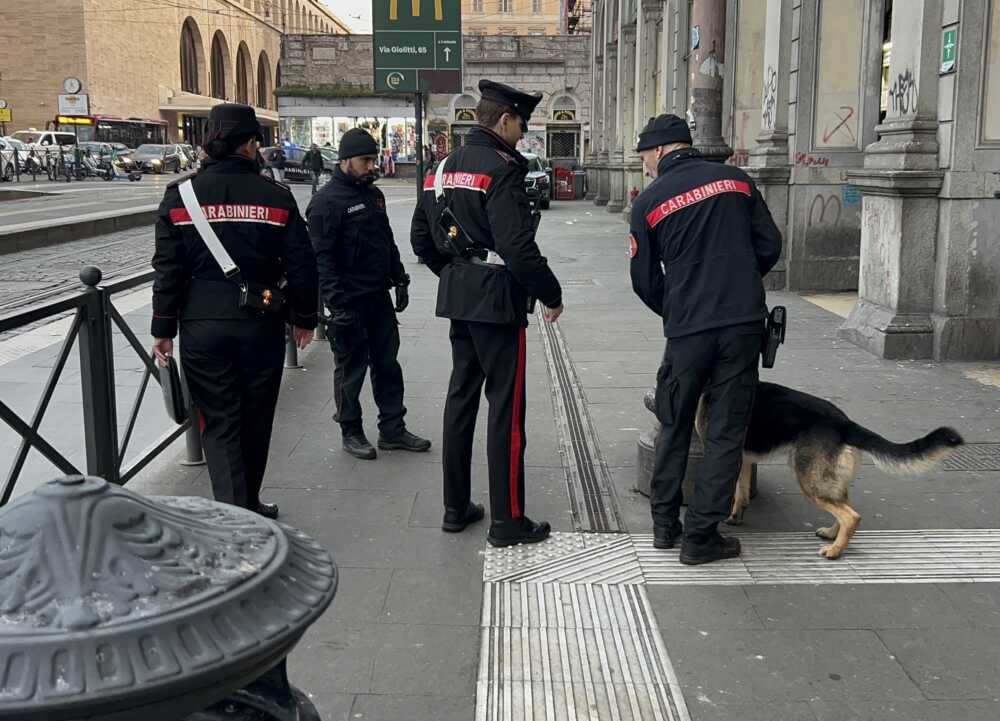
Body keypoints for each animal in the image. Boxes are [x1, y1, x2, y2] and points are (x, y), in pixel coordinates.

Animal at [692, 382, 964, 556]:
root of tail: (844, 423)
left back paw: (835, 551)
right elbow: (741, 492)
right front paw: (736, 516)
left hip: (810, 481)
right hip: (828, 479)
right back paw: (833, 535)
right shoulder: (744, 459)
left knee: (851, 515)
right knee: (845, 508)